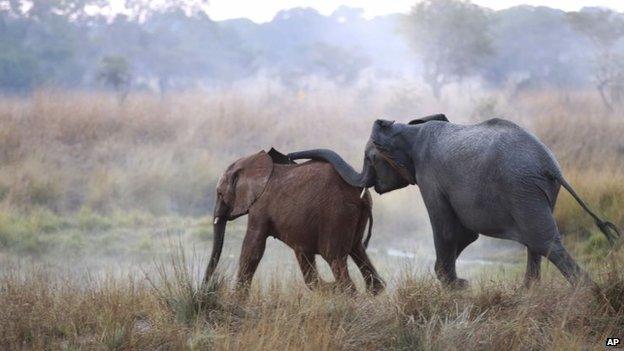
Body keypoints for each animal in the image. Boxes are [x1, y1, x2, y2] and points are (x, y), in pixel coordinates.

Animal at [204, 147, 386, 296]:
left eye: (219, 194)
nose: (206, 289)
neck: (253, 161)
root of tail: (362, 195)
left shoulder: (260, 205)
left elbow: (252, 248)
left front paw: (237, 299)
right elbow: (303, 254)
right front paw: (328, 287)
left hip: (337, 215)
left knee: (333, 256)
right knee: (357, 249)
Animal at [288, 115, 620, 288]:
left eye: (369, 159)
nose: (289, 156)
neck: (408, 128)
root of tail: (551, 166)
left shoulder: (430, 176)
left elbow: (448, 229)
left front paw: (454, 286)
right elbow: (464, 234)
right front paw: (458, 284)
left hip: (521, 188)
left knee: (544, 242)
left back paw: (588, 294)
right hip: (538, 192)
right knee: (535, 243)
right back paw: (529, 292)